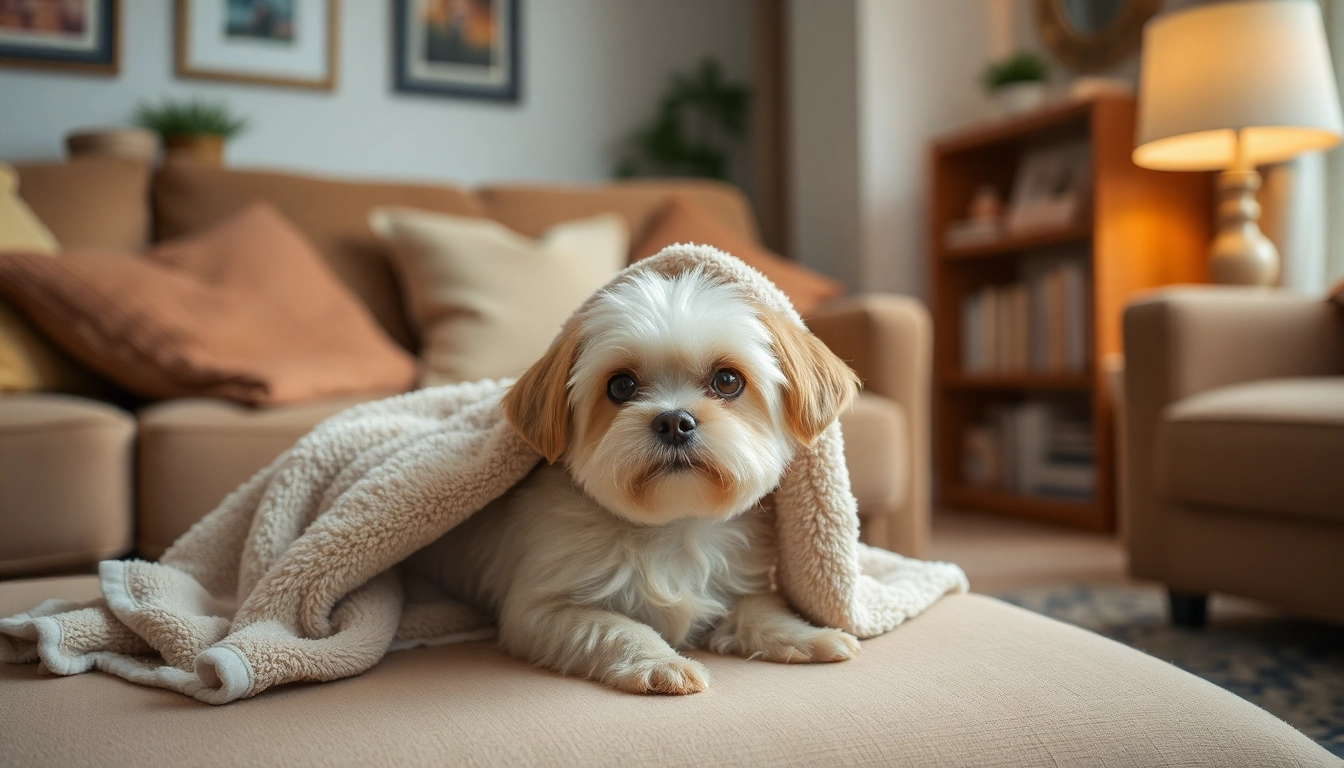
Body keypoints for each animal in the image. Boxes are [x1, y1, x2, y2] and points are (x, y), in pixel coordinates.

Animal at [403, 266, 860, 699]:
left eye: (728, 380)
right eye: (621, 385)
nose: (674, 421)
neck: (672, 528)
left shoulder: (738, 583)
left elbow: (759, 609)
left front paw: (808, 635)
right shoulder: (538, 611)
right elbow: (616, 627)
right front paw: (662, 663)